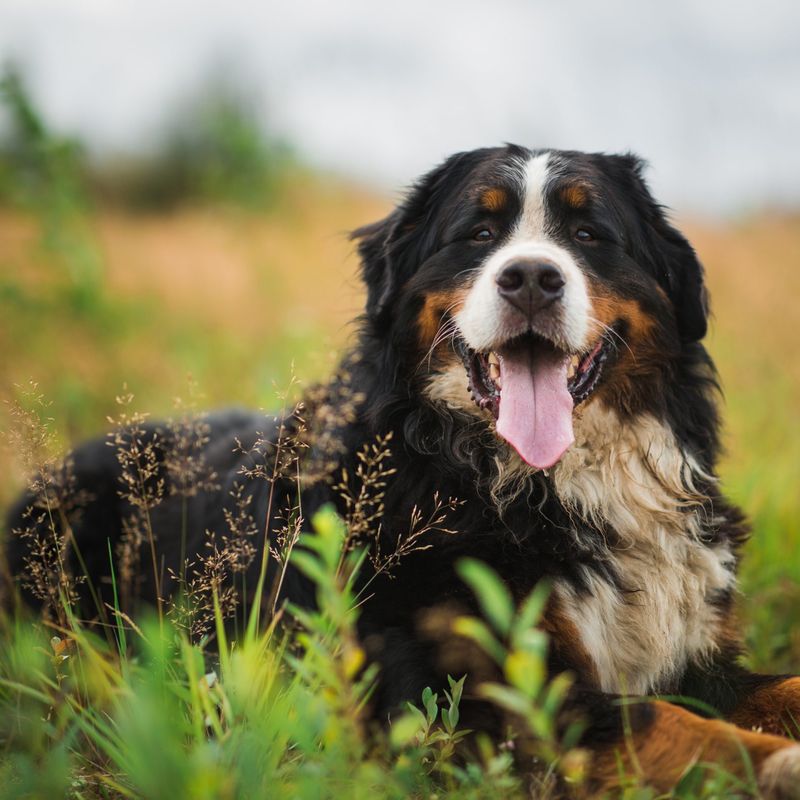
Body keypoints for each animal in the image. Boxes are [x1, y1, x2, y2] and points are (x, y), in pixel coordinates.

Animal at [4, 147, 800, 796]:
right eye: (478, 234)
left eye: (588, 234)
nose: (532, 278)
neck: (537, 485)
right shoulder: (474, 697)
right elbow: (666, 723)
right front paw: (777, 765)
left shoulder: (697, 656)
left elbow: (775, 686)